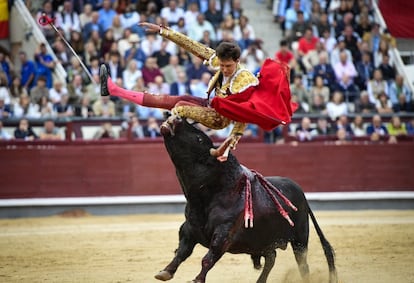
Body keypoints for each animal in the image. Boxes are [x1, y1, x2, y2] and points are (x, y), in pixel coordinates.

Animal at [157, 118, 338, 283]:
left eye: (199, 139)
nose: (176, 119)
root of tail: (300, 191)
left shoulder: (224, 234)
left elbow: (208, 258)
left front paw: (197, 280)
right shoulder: (189, 229)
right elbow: (182, 252)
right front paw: (166, 272)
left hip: (300, 238)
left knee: (302, 265)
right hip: (264, 241)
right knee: (271, 258)